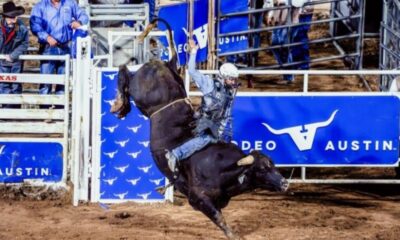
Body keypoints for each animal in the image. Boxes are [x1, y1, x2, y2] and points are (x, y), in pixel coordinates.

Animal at [111, 18, 290, 240]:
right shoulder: (198, 199)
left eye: (273, 164)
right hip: (141, 92)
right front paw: (233, 235)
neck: (223, 169)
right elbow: (219, 218)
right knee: (124, 70)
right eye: (263, 169)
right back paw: (119, 104)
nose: (285, 183)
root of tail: (165, 64)